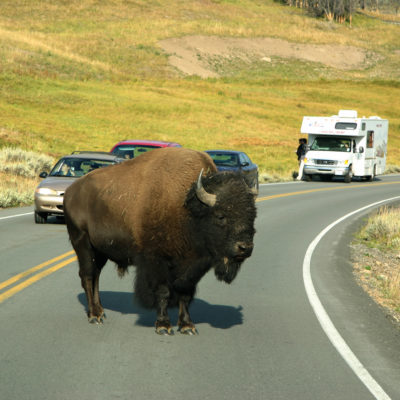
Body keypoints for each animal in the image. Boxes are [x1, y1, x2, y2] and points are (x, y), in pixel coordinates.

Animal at [63, 147, 256, 334]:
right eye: (221, 216)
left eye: (252, 215)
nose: (244, 248)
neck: (187, 207)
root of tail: (71, 192)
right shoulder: (158, 262)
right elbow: (163, 291)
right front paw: (163, 326)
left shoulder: (191, 268)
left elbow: (185, 293)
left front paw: (187, 326)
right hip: (82, 244)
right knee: (88, 276)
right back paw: (94, 315)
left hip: (100, 251)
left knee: (96, 276)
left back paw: (101, 311)